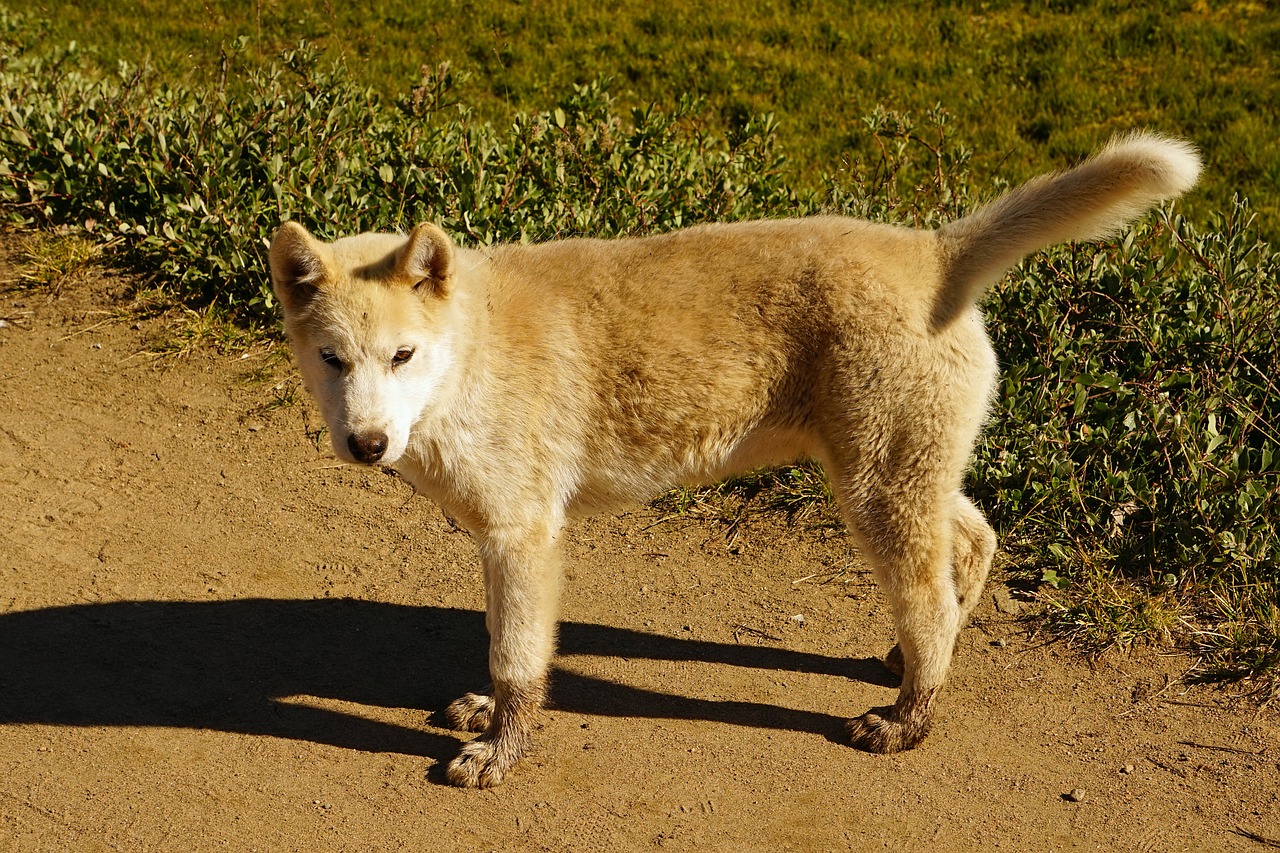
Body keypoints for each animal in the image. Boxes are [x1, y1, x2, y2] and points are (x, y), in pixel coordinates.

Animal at [267, 131, 1198, 783]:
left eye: (403, 355)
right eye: (332, 360)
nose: (368, 444)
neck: (471, 349)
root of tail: (935, 254)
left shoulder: (524, 535)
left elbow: (519, 658)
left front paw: (502, 750)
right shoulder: (504, 541)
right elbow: (507, 646)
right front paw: (487, 715)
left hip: (876, 486)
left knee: (931, 596)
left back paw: (908, 716)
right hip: (908, 466)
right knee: (970, 543)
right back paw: (913, 664)